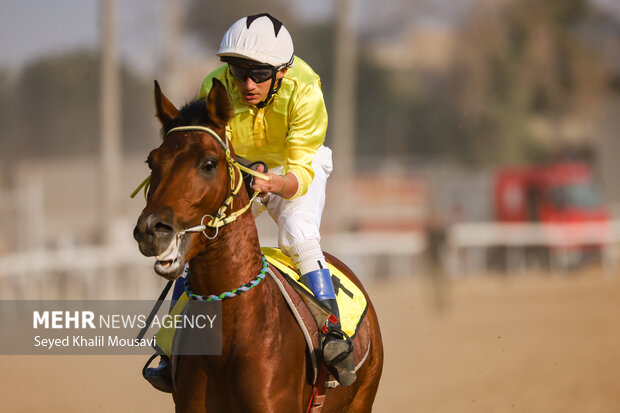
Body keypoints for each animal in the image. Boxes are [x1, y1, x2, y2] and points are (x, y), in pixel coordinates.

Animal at [133, 78, 382, 412]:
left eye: (209, 163)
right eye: (152, 161)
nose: (151, 231)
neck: (227, 339)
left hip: (362, 398)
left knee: (300, 237)